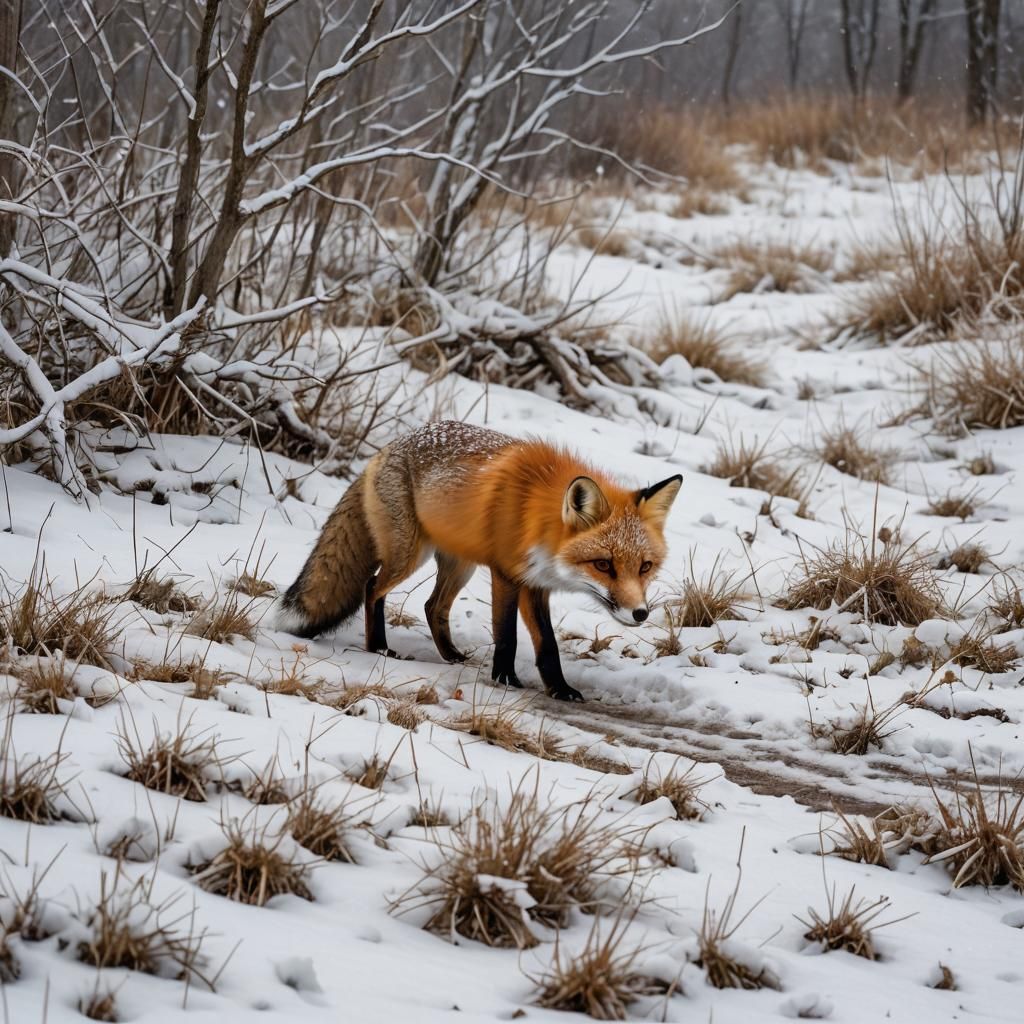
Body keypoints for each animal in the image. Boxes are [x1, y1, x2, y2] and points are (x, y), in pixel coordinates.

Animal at [276, 420, 681, 701]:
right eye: (604, 565)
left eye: (644, 567)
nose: (640, 614)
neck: (536, 517)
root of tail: (385, 449)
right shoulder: (507, 575)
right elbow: (507, 635)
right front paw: (505, 679)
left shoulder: (536, 584)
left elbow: (547, 645)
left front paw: (559, 689)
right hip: (410, 555)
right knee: (372, 586)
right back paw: (379, 647)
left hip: (460, 566)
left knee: (432, 605)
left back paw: (451, 654)